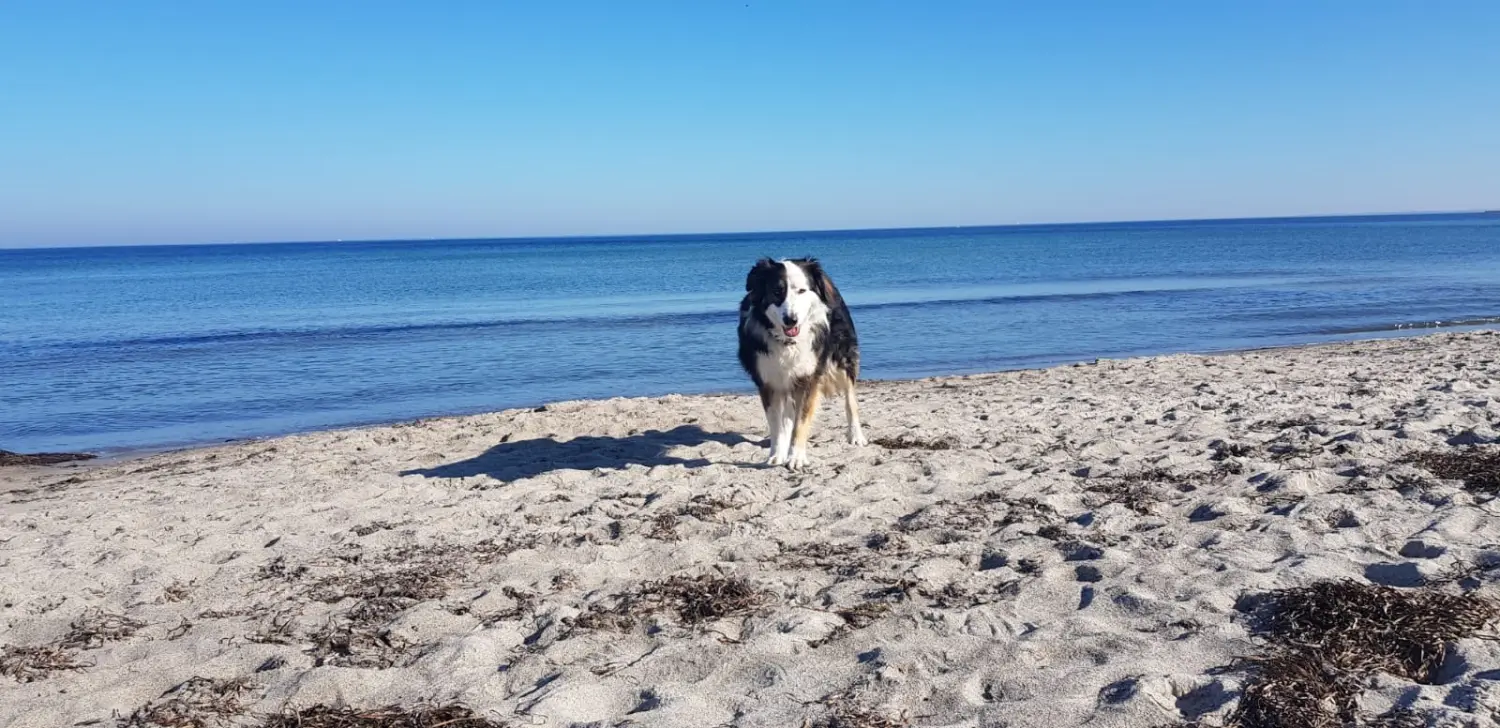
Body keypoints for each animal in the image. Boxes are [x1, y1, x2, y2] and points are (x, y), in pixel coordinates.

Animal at [738, 258, 870, 468]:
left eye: (801, 291)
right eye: (777, 291)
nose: (790, 320)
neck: (788, 342)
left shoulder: (809, 378)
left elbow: (801, 420)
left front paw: (797, 457)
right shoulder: (768, 381)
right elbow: (776, 423)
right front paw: (777, 453)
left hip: (842, 358)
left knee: (850, 398)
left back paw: (856, 436)